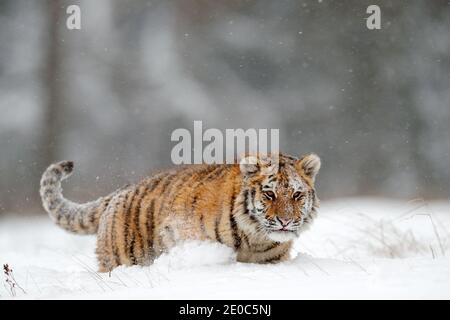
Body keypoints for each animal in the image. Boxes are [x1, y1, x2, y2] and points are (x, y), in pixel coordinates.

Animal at [39, 151, 320, 272]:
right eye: (269, 194)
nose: (285, 221)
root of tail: (117, 193)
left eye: (296, 195)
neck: (256, 239)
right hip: (119, 258)